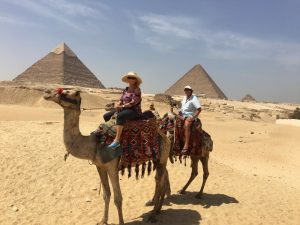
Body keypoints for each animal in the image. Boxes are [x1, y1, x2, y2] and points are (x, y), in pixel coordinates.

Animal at [44, 89, 171, 225]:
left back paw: (153, 215)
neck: (94, 143)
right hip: (158, 159)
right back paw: (157, 208)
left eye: (66, 92)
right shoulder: (100, 166)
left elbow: (118, 198)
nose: (47, 93)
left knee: (159, 182)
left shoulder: (112, 167)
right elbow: (106, 195)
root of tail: (164, 135)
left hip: (162, 157)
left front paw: (121, 222)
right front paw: (103, 220)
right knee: (162, 178)